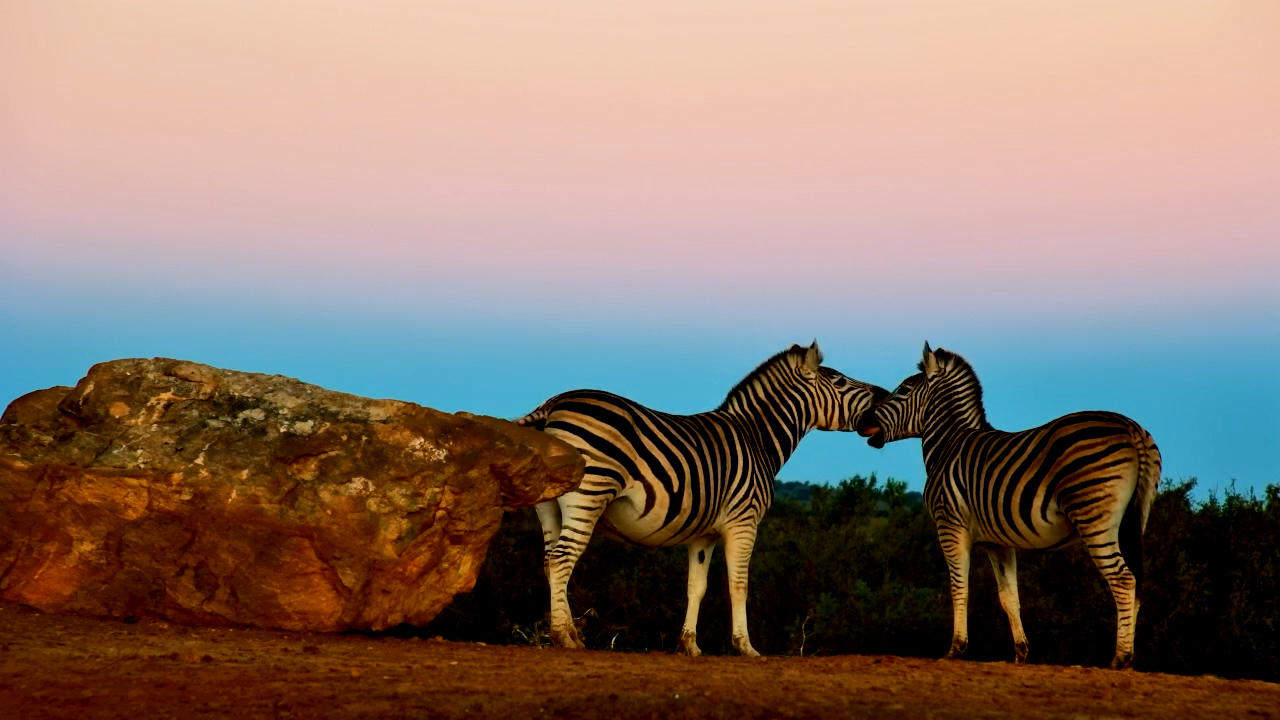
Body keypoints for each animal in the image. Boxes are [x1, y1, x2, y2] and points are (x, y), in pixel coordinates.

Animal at [516, 342, 887, 656]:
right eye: (839, 381)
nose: (885, 394)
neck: (757, 439)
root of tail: (552, 405)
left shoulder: (703, 534)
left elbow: (697, 586)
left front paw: (690, 645)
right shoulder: (744, 521)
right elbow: (739, 584)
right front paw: (745, 647)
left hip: (550, 505)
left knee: (549, 561)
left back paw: (567, 634)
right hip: (589, 493)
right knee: (562, 559)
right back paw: (565, 638)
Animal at [855, 343, 1160, 669]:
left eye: (903, 390)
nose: (860, 422)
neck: (948, 444)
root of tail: (1131, 429)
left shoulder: (949, 525)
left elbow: (958, 587)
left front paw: (956, 649)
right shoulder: (997, 541)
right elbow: (1008, 596)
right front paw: (1021, 653)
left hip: (1094, 516)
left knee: (1123, 579)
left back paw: (1120, 658)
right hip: (1132, 520)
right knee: (1137, 581)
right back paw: (1129, 656)